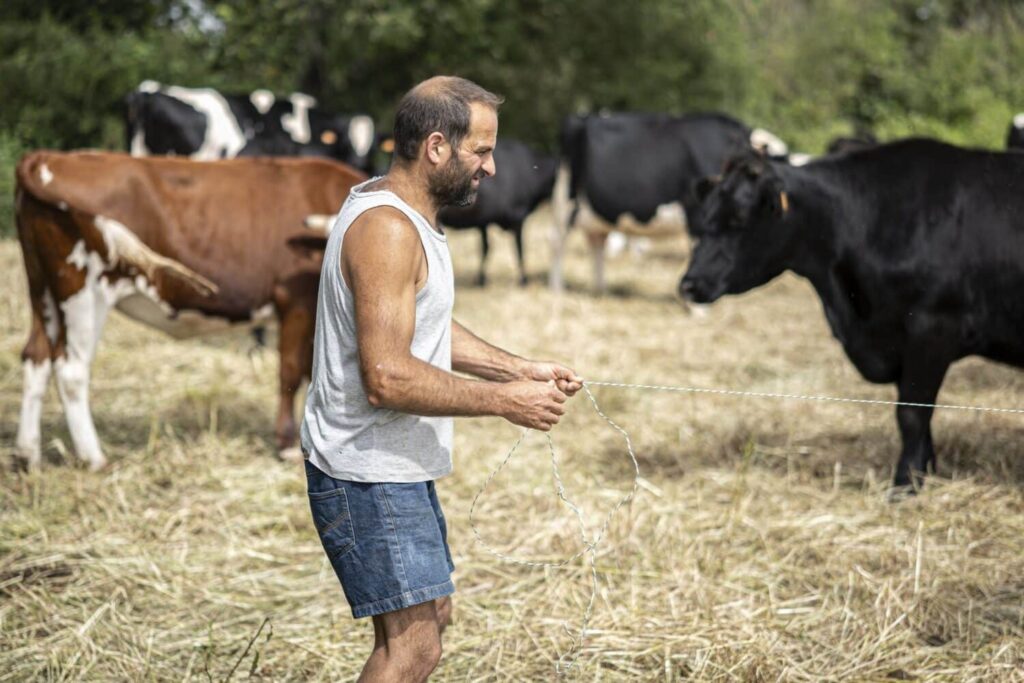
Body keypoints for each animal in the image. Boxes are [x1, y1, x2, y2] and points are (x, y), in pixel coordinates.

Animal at [13, 151, 365, 470]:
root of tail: (49, 158)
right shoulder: (295, 300)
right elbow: (291, 370)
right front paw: (287, 446)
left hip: (41, 290)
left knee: (37, 357)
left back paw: (28, 455)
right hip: (83, 291)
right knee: (71, 369)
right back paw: (94, 458)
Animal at [438, 138, 558, 286]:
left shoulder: (483, 222)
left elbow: (486, 248)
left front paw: (481, 279)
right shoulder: (518, 217)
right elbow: (519, 249)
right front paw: (523, 280)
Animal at [550, 111, 789, 292]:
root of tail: (583, 118)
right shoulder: (698, 212)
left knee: (597, 242)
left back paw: (601, 291)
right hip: (565, 200)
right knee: (558, 241)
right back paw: (557, 289)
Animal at [678, 139, 1024, 491]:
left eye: (739, 219)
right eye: (706, 218)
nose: (689, 284)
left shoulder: (933, 328)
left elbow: (911, 414)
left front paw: (904, 485)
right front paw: (923, 472)